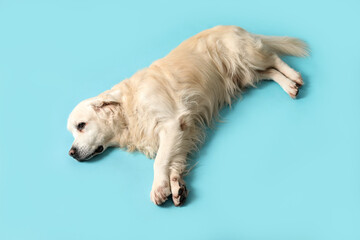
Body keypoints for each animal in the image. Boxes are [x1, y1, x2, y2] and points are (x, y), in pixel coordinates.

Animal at [68, 26, 310, 206]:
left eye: (81, 125)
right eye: (73, 131)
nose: (71, 153)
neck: (128, 108)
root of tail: (235, 26)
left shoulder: (172, 124)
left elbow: (160, 161)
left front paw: (159, 188)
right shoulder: (185, 130)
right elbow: (175, 160)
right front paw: (176, 186)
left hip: (246, 56)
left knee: (274, 58)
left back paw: (295, 76)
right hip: (244, 74)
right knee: (269, 72)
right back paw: (289, 86)